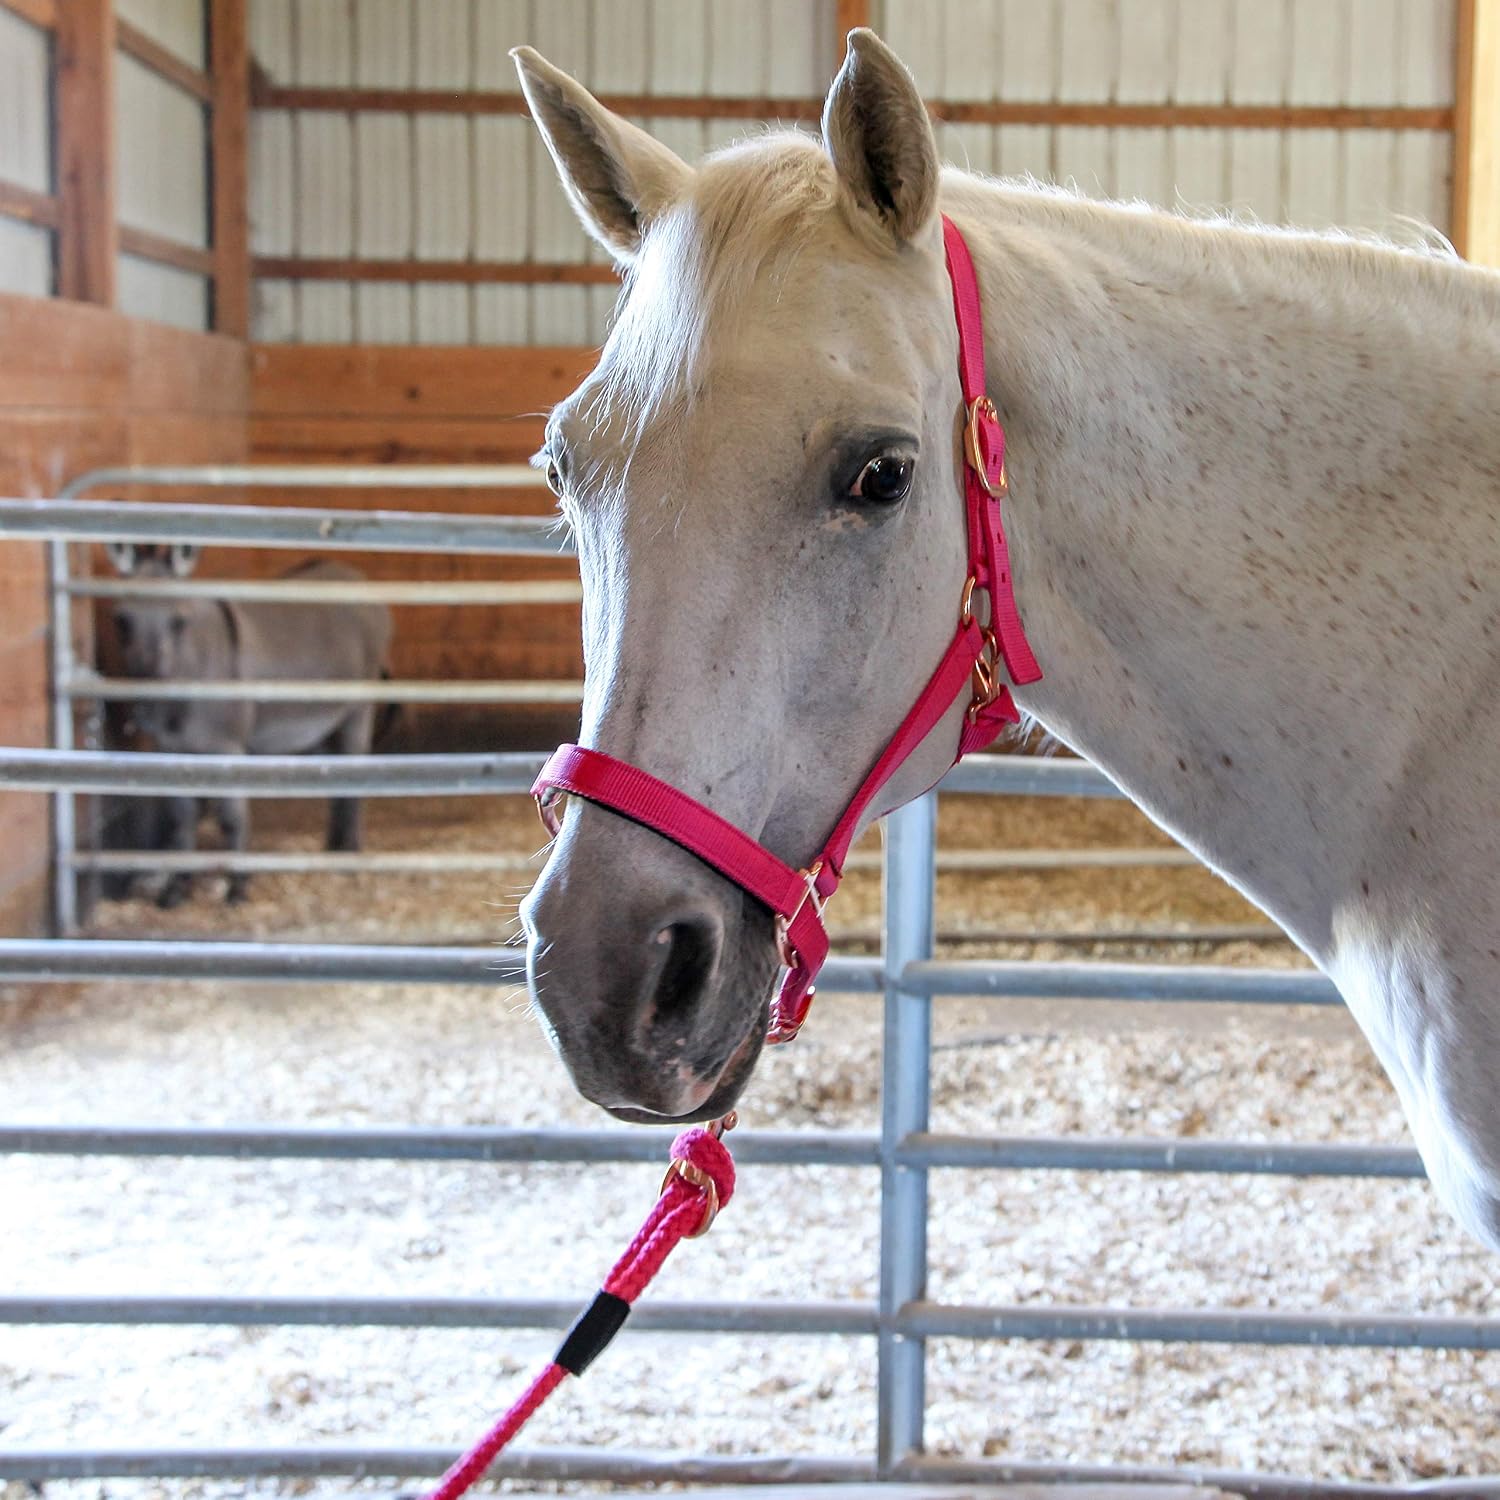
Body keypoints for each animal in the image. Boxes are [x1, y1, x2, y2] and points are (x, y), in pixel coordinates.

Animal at [105, 542, 394, 907]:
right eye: (122, 621)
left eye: (178, 622)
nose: (146, 708)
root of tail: (350, 573)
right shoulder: (172, 750)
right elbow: (181, 818)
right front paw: (176, 890)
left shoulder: (227, 748)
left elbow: (231, 817)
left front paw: (238, 888)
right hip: (322, 725)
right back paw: (333, 847)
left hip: (357, 710)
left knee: (356, 773)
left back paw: (349, 856)